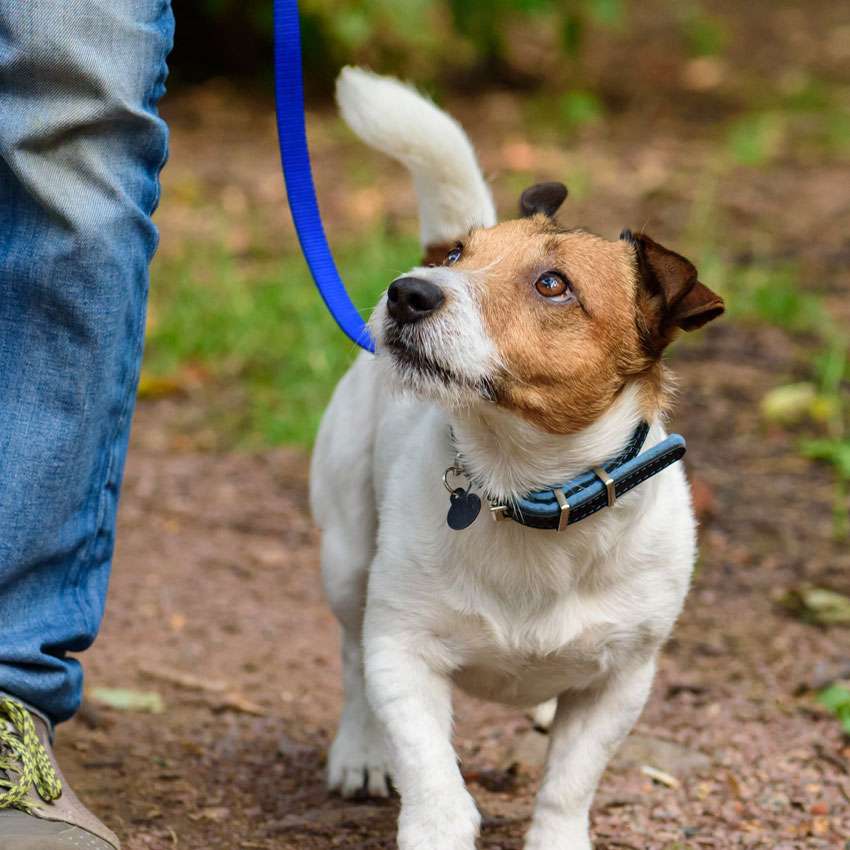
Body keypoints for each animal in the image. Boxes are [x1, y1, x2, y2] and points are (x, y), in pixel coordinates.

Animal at [308, 68, 720, 848]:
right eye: (457, 259)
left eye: (553, 284)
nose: (407, 291)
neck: (526, 486)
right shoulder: (402, 651)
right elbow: (430, 774)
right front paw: (434, 819)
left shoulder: (621, 682)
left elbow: (568, 785)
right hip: (345, 559)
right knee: (346, 660)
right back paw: (359, 751)